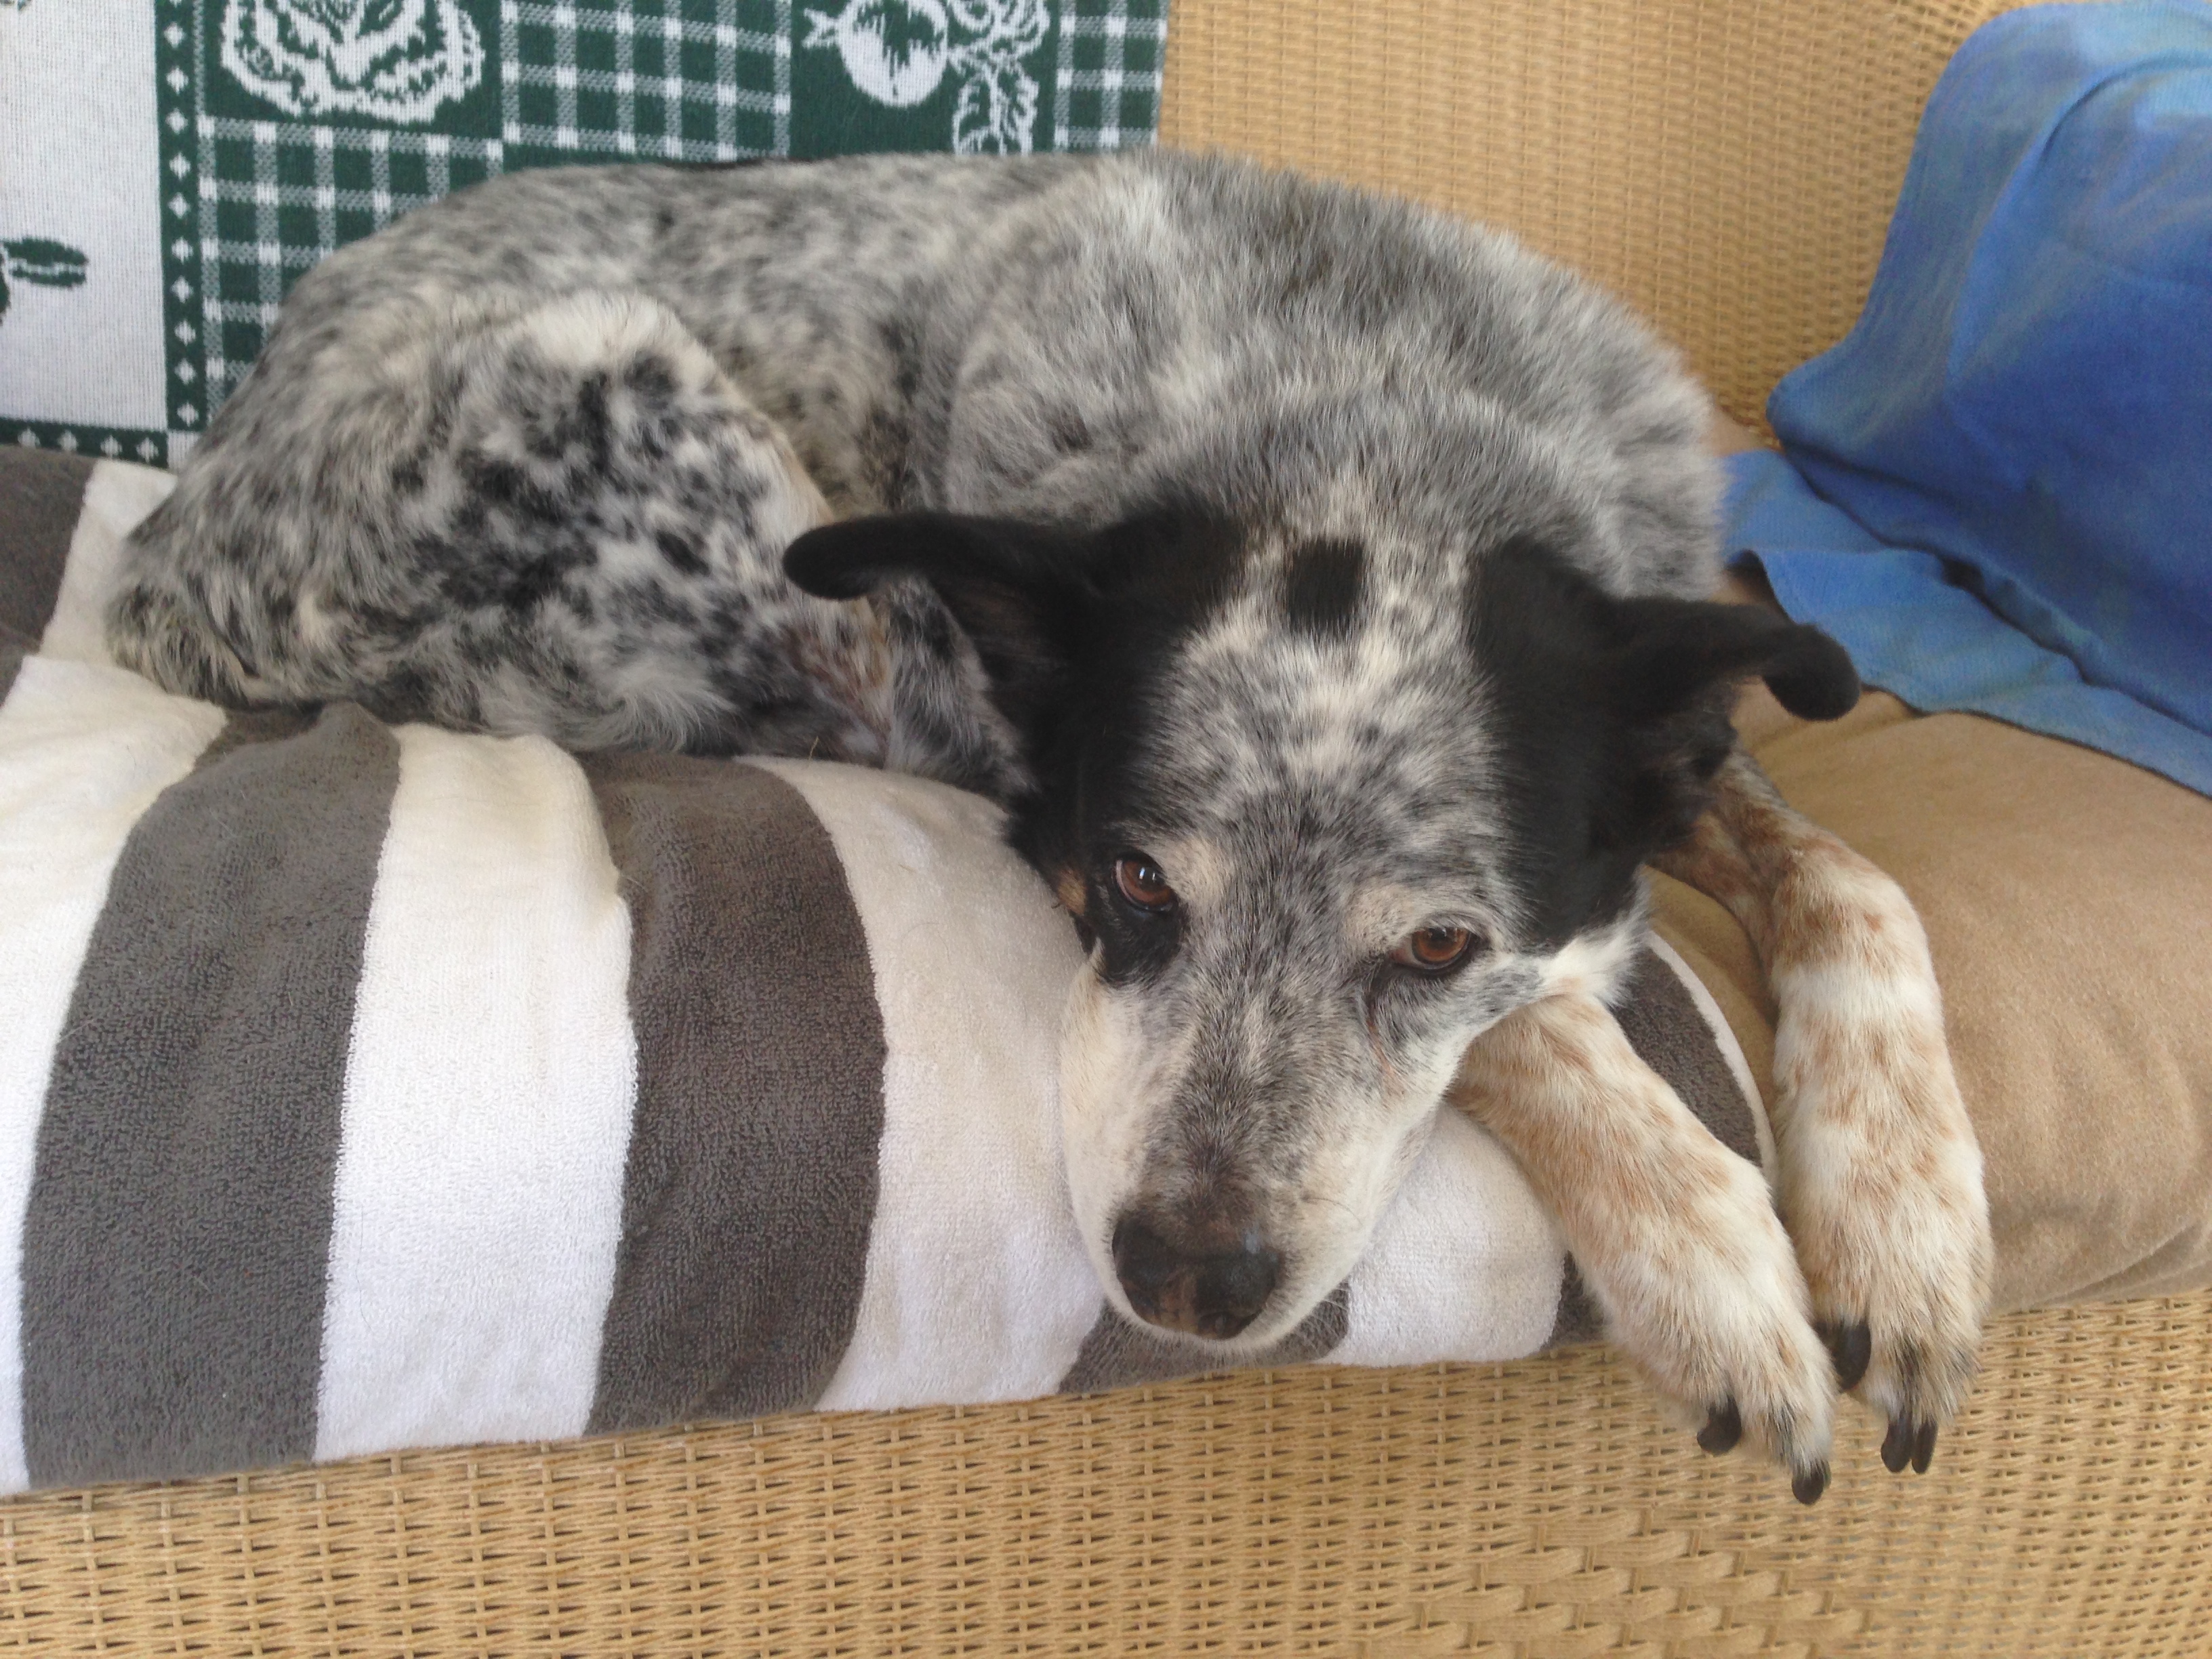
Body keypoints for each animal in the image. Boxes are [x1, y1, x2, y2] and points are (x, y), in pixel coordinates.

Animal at [108, 149, 1991, 1501]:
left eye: (1438, 936)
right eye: (1136, 879)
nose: (1186, 1277)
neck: (1386, 414)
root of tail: (158, 561)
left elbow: (1856, 880)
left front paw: (1904, 1217)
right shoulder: (996, 743)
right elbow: (1552, 1025)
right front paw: (1709, 1254)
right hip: (662, 420)